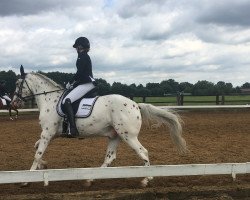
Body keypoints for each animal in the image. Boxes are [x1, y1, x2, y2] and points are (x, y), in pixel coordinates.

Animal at [12, 66, 188, 188]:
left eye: (18, 83)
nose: (14, 103)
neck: (50, 99)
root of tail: (135, 105)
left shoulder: (47, 133)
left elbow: (37, 154)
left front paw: (26, 180)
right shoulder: (50, 134)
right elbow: (36, 149)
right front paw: (43, 166)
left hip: (128, 136)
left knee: (143, 152)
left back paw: (146, 179)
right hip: (115, 136)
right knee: (109, 158)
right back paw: (90, 179)